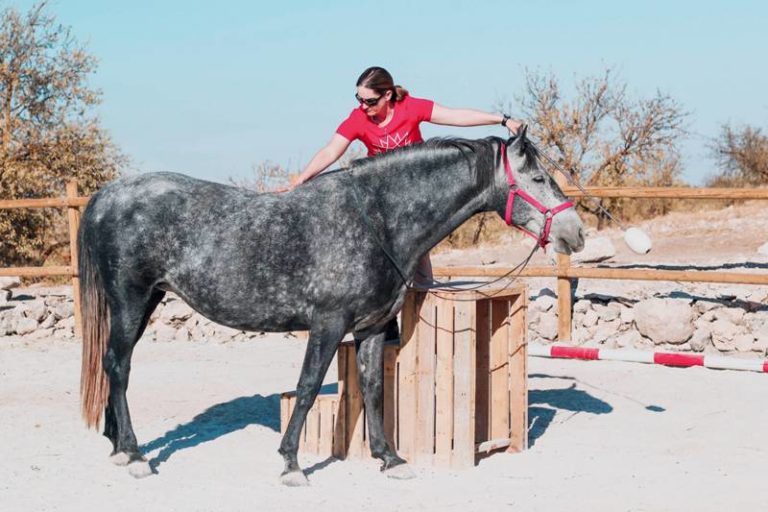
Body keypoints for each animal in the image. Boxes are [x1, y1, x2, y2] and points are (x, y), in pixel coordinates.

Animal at [79, 128, 584, 484]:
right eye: (537, 178)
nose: (575, 233)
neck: (377, 220)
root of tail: (106, 196)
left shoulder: (372, 327)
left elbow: (375, 388)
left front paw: (389, 458)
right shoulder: (327, 324)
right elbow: (305, 388)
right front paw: (291, 464)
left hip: (146, 302)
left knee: (112, 365)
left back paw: (118, 445)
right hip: (130, 300)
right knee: (119, 367)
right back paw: (136, 454)